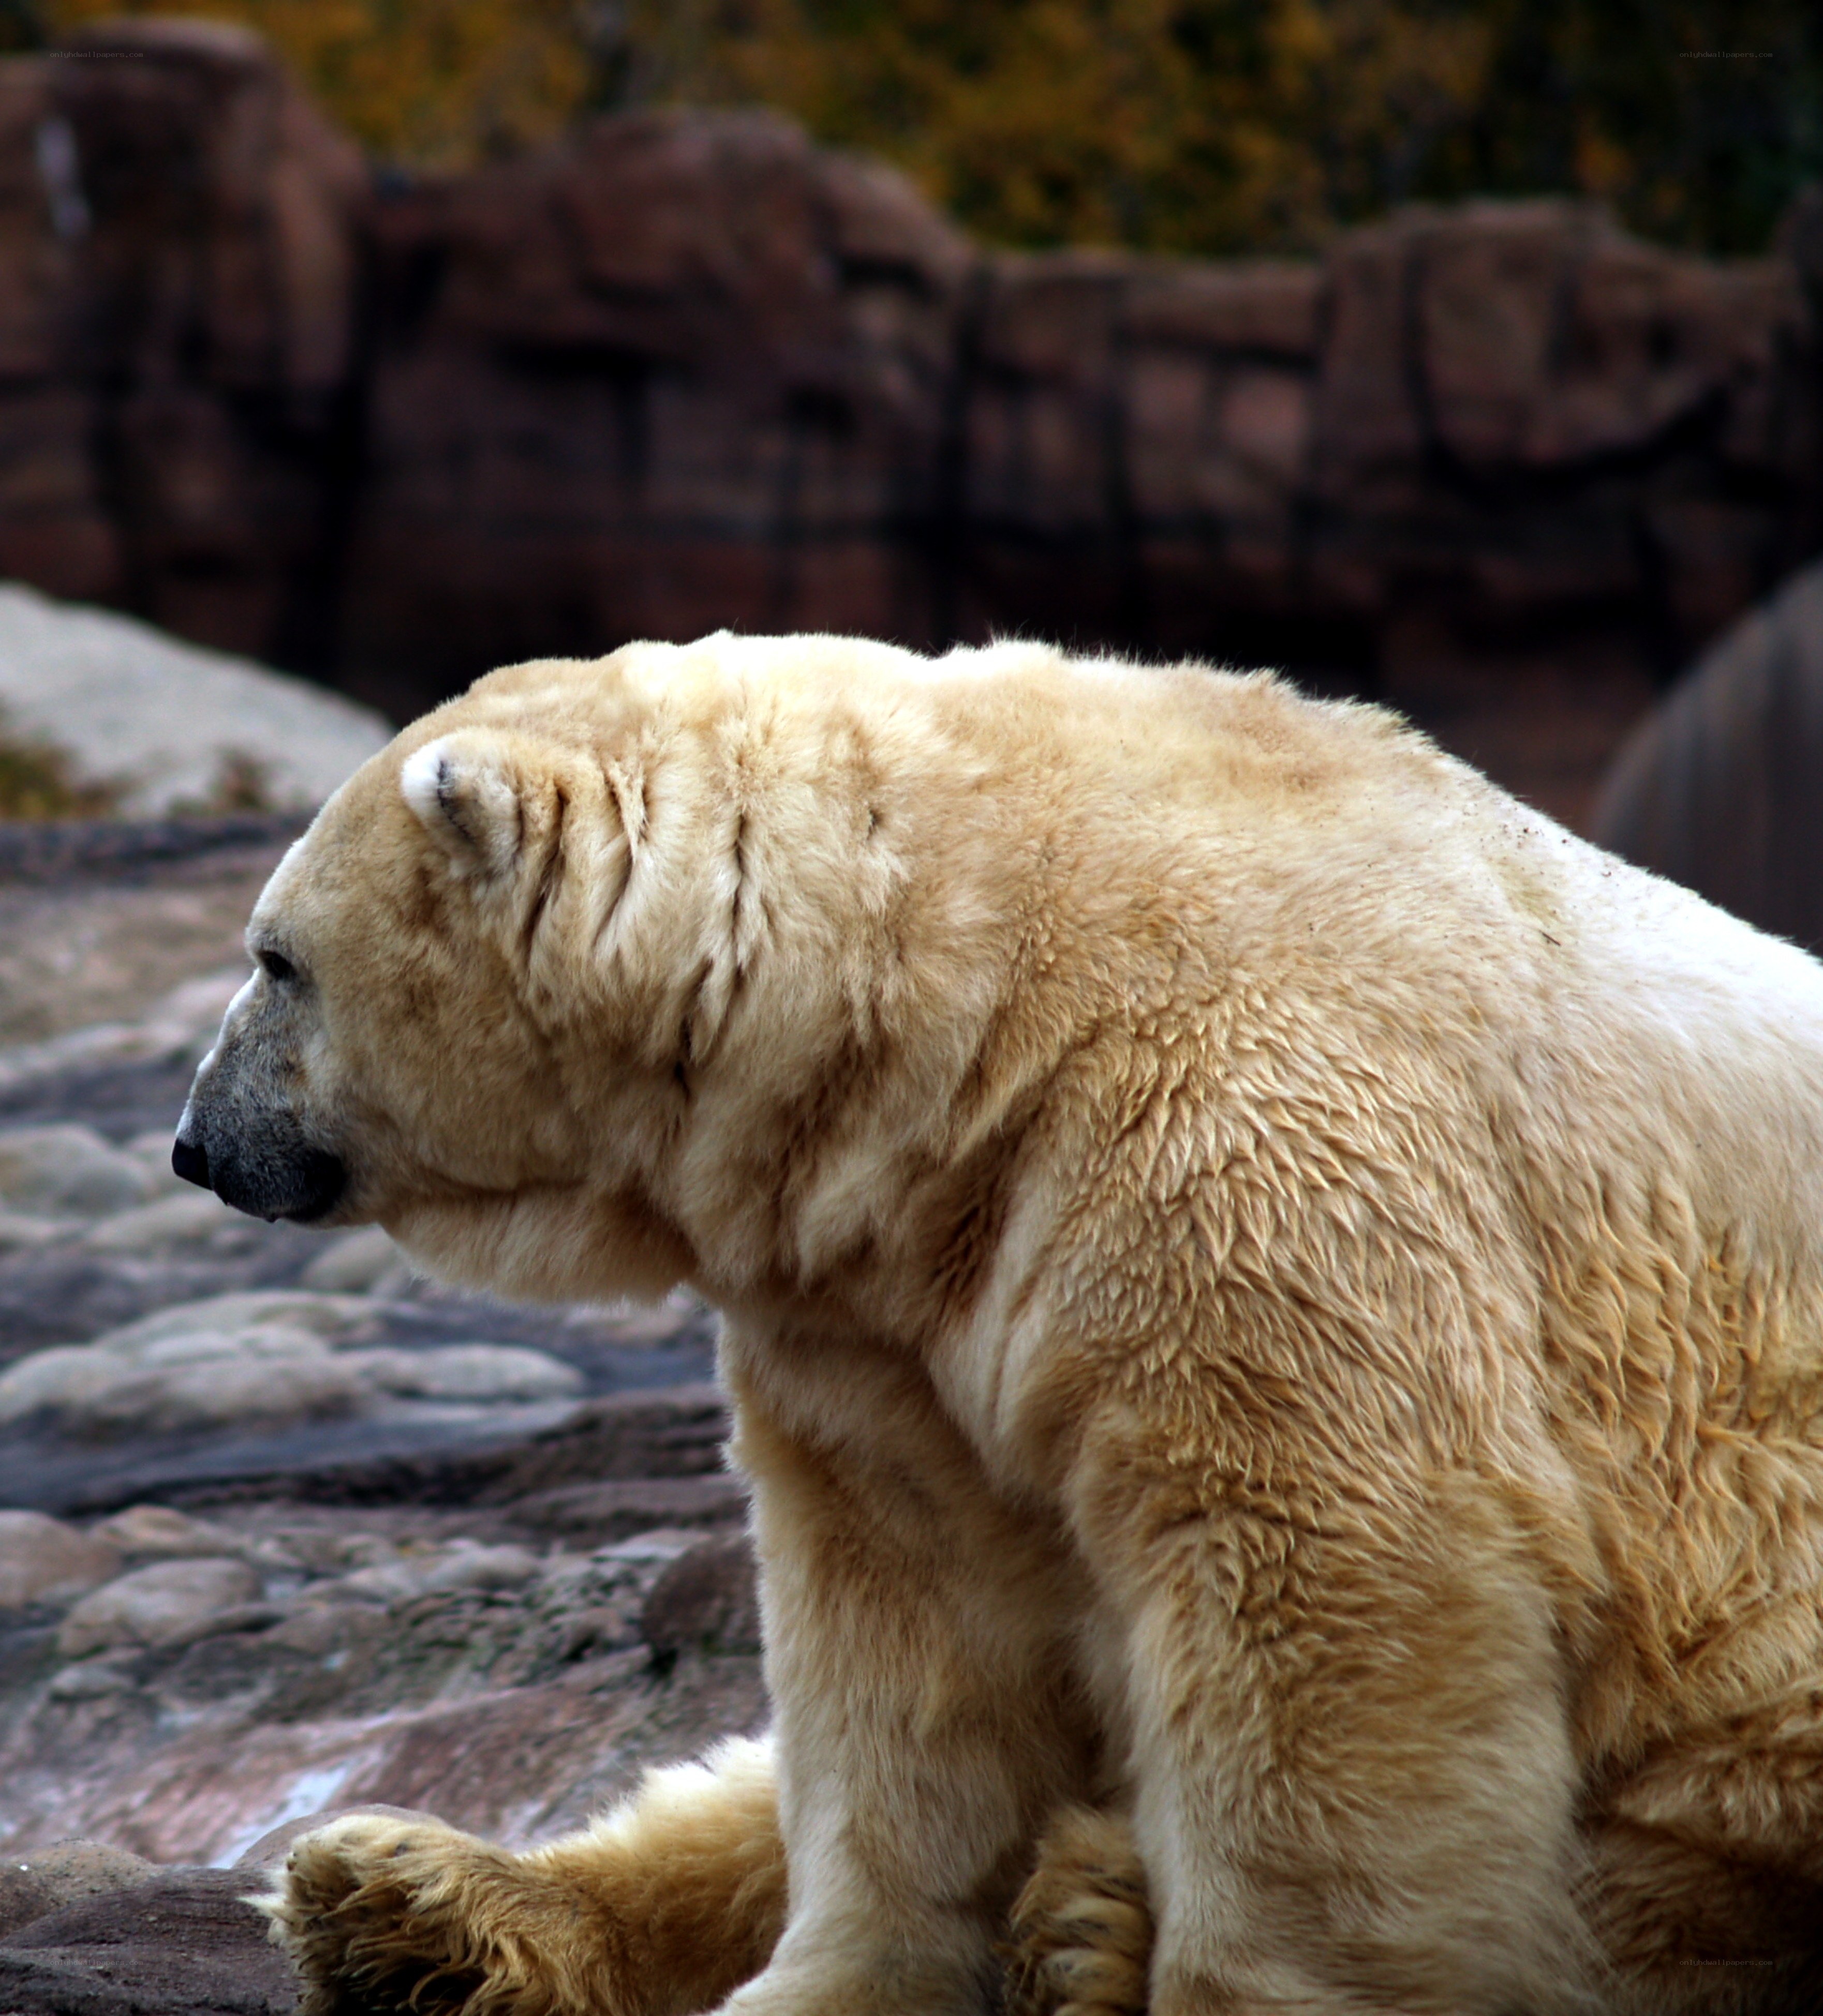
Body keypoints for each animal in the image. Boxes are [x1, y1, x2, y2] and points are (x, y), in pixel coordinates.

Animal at [173, 631, 1823, 2016]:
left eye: (274, 959)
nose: (195, 1144)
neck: (960, 979)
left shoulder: (1240, 1125)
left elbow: (1333, 1563)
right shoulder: (882, 1287)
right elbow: (903, 1614)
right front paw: (834, 1981)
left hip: (1755, 1695)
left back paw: (1098, 1916)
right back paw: (405, 1897)